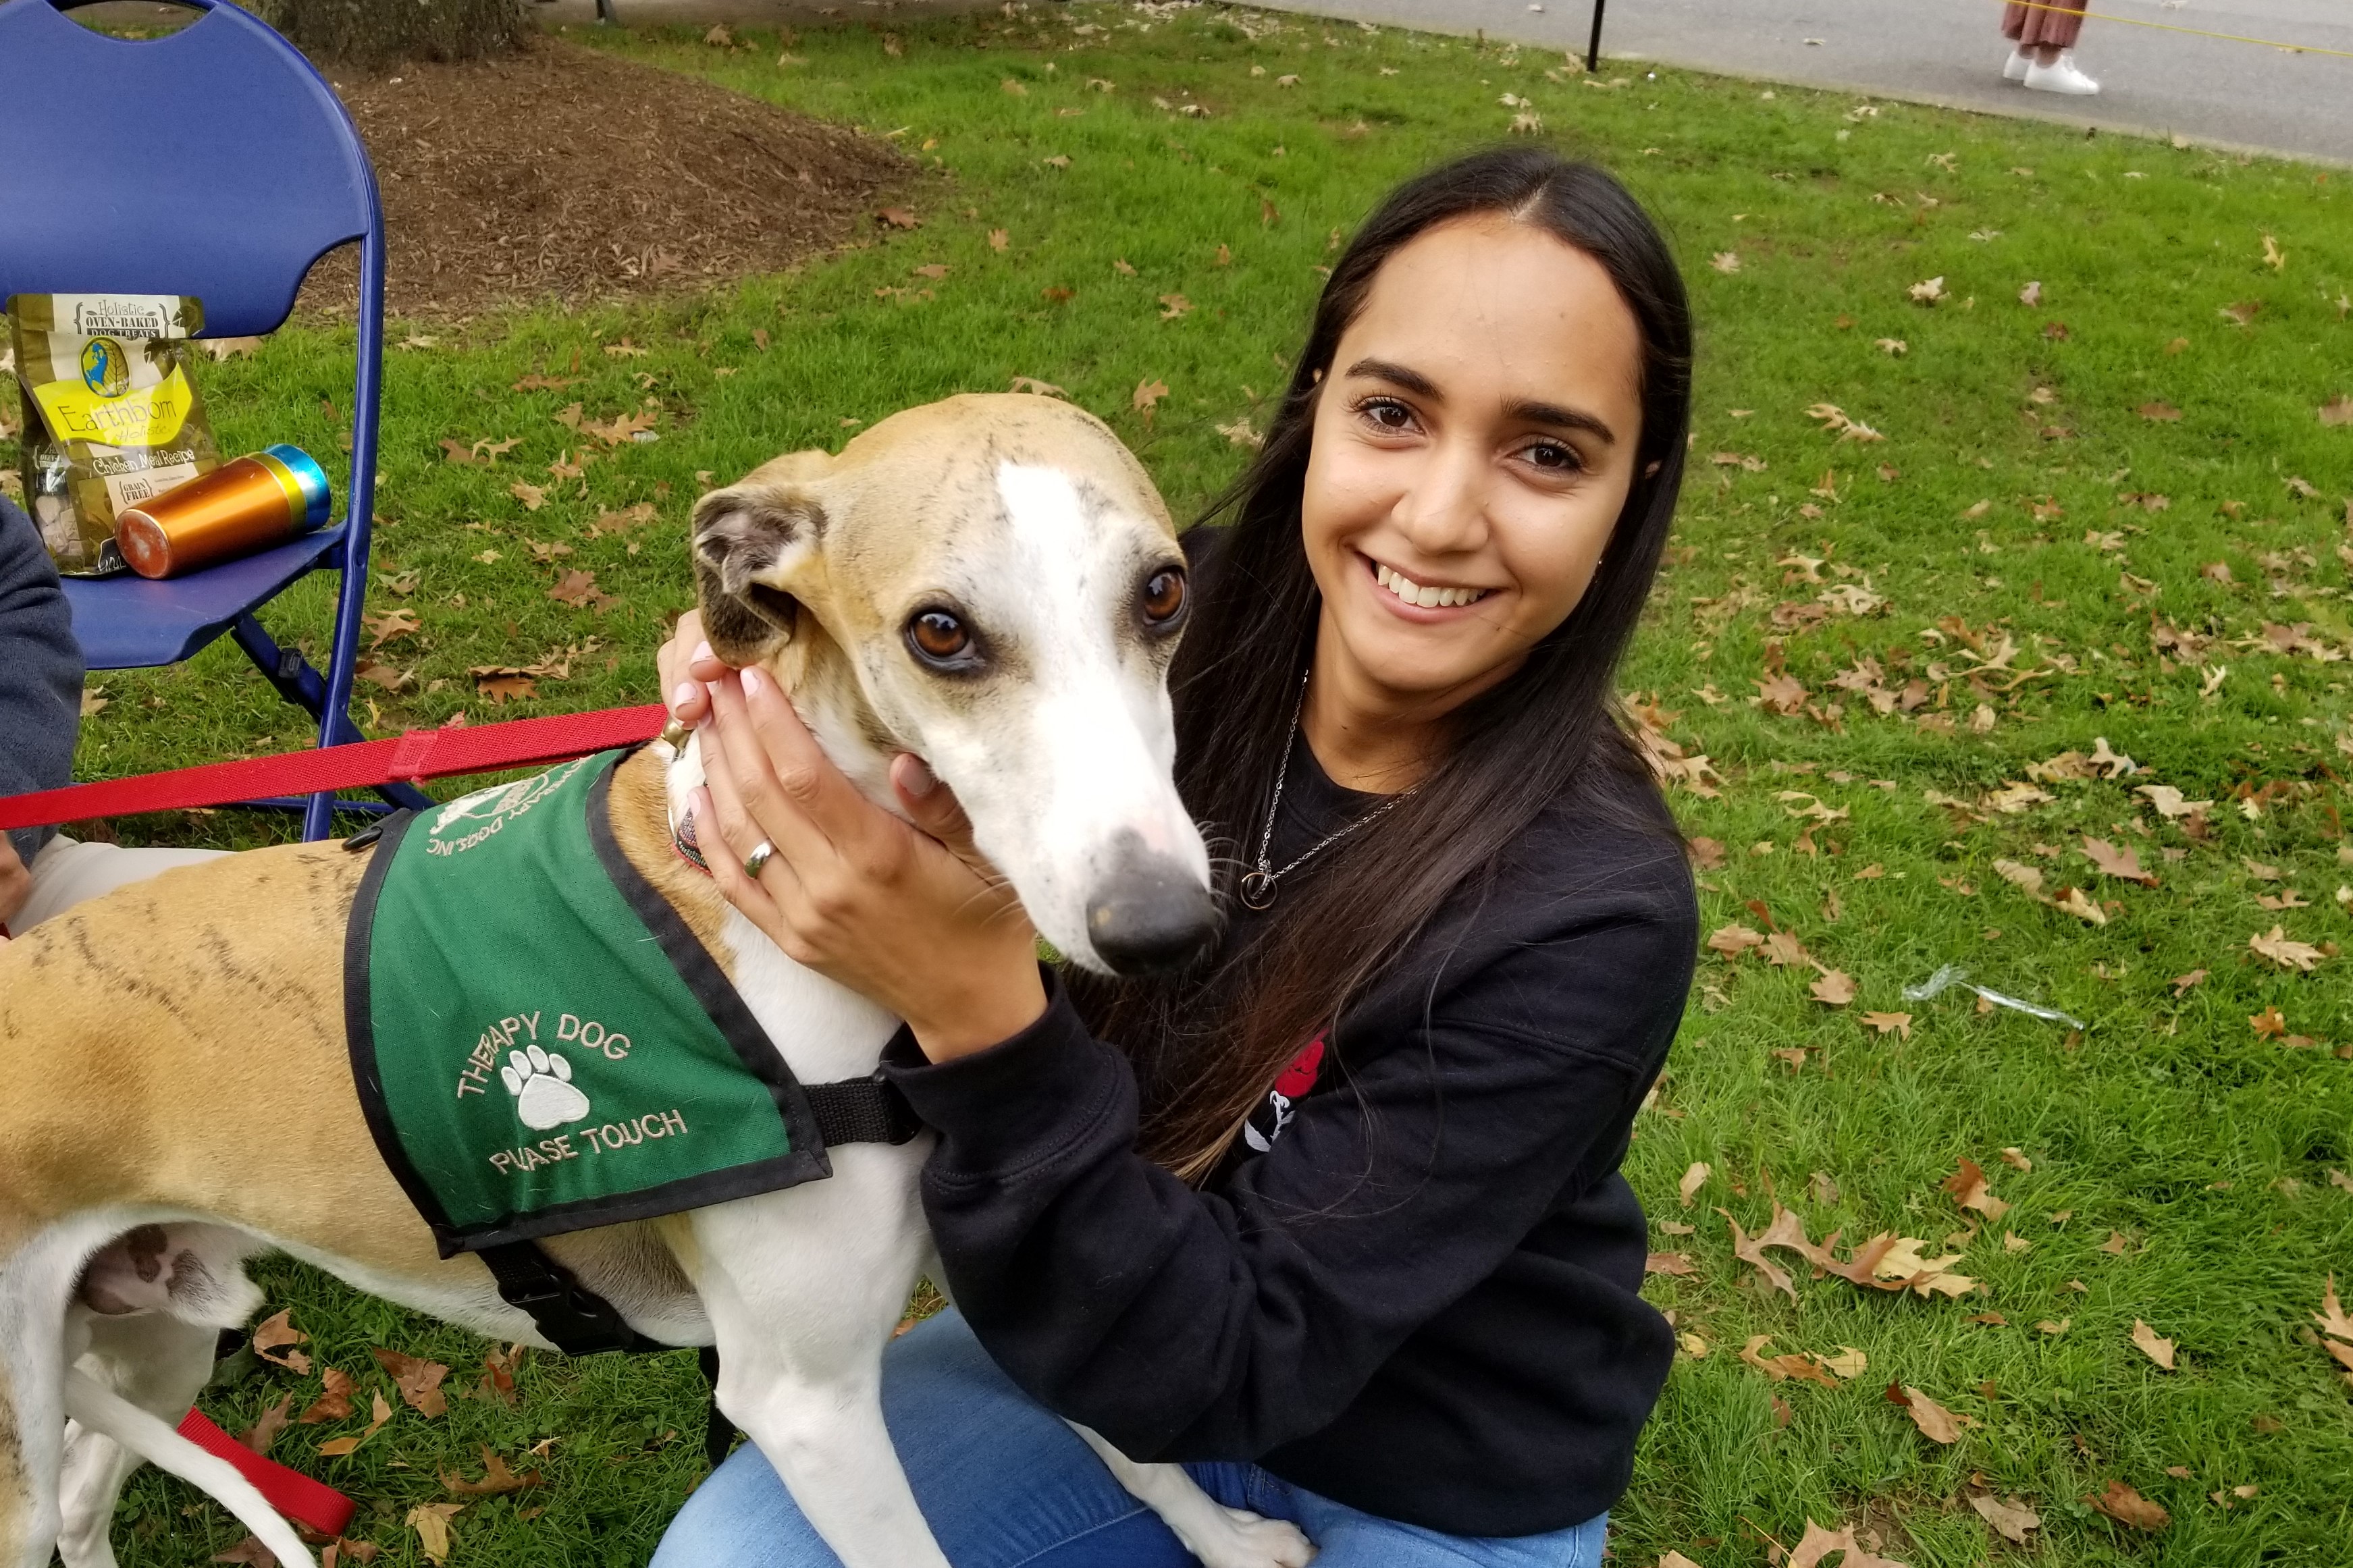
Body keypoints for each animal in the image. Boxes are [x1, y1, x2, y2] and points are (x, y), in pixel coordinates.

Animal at [0, 400, 1317, 1568]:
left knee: (83, 1499)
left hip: (154, 1337)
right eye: (941, 630)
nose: (1164, 928)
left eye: (1163, 591)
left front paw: (1228, 1537)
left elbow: (1125, 1428)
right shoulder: (805, 1403)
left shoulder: (989, 1248)